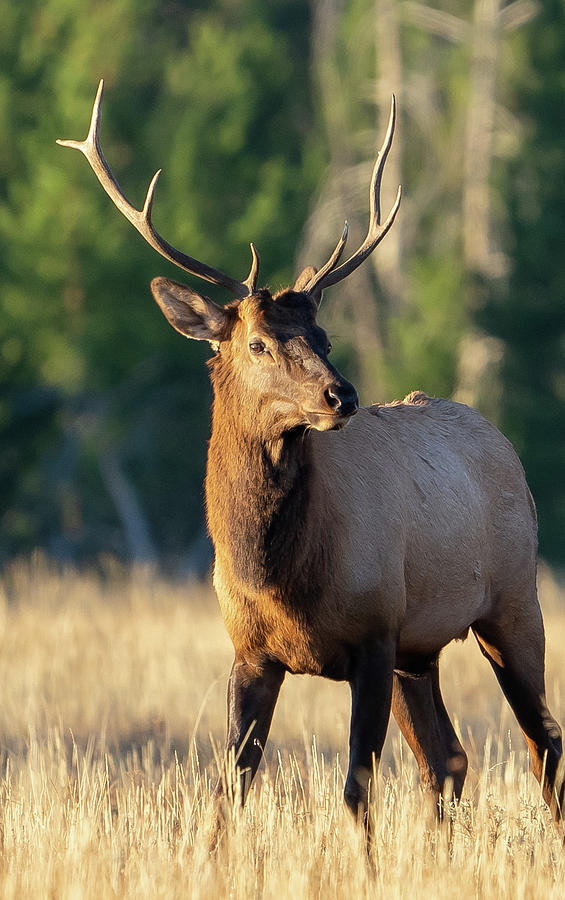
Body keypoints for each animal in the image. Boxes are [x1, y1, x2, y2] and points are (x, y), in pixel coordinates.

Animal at [59, 81, 560, 832]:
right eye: (258, 342)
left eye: (322, 335)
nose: (341, 394)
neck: (279, 574)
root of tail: (502, 444)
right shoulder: (251, 653)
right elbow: (229, 788)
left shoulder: (374, 638)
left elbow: (356, 787)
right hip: (422, 649)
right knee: (448, 760)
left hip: (512, 602)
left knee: (541, 744)